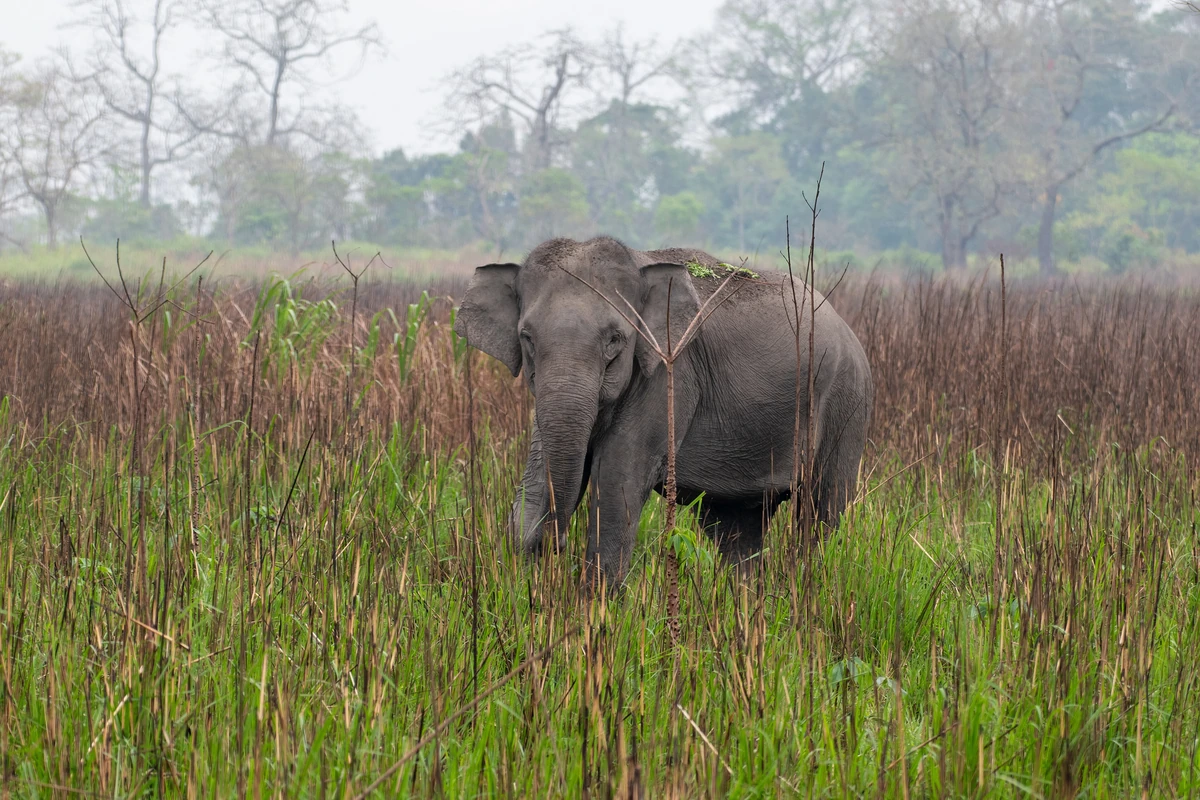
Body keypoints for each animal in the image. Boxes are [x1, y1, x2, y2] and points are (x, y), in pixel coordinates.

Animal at [454, 236, 873, 588]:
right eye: (526, 338)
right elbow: (541, 471)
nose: (553, 546)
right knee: (738, 526)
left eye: (615, 340)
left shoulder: (669, 373)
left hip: (847, 401)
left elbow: (617, 480)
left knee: (820, 509)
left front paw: (599, 612)